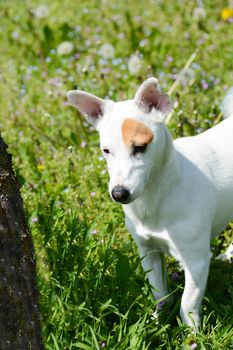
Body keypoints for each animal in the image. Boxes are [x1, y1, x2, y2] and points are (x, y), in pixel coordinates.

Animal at [66, 78, 233, 328]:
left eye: (140, 147)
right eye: (106, 151)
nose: (118, 193)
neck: (158, 193)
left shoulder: (196, 261)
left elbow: (188, 303)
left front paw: (191, 333)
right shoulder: (149, 252)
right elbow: (160, 294)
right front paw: (157, 323)